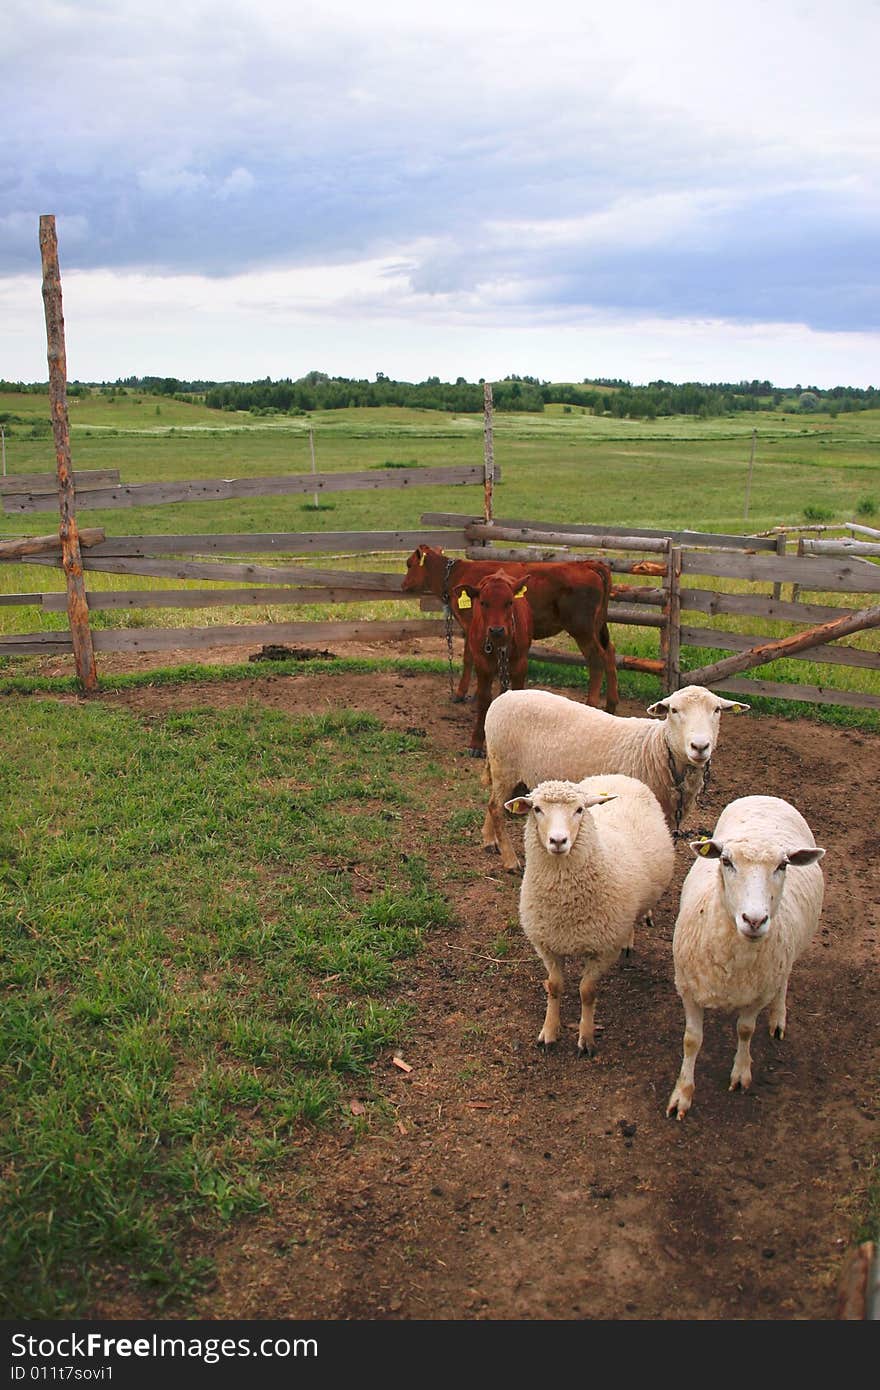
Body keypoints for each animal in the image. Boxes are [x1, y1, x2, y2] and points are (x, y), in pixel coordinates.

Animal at [481, 683, 750, 867]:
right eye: (673, 710)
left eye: (717, 709)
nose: (700, 746)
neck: (655, 750)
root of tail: (505, 695)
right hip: (504, 764)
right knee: (495, 806)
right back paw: (509, 859)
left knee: (492, 803)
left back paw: (489, 840)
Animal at [500, 778, 672, 1056]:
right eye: (537, 809)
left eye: (579, 810)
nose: (558, 840)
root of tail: (618, 775)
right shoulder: (547, 945)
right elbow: (554, 986)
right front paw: (549, 1032)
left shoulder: (603, 949)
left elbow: (587, 992)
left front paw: (586, 1038)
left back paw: (629, 940)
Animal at [664, 800, 823, 1123]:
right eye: (726, 861)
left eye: (783, 865)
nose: (754, 920)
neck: (734, 964)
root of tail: (767, 797)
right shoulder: (688, 990)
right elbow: (691, 1040)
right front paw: (682, 1093)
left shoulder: (757, 996)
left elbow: (745, 1030)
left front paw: (741, 1072)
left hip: (789, 953)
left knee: (784, 981)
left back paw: (778, 1017)